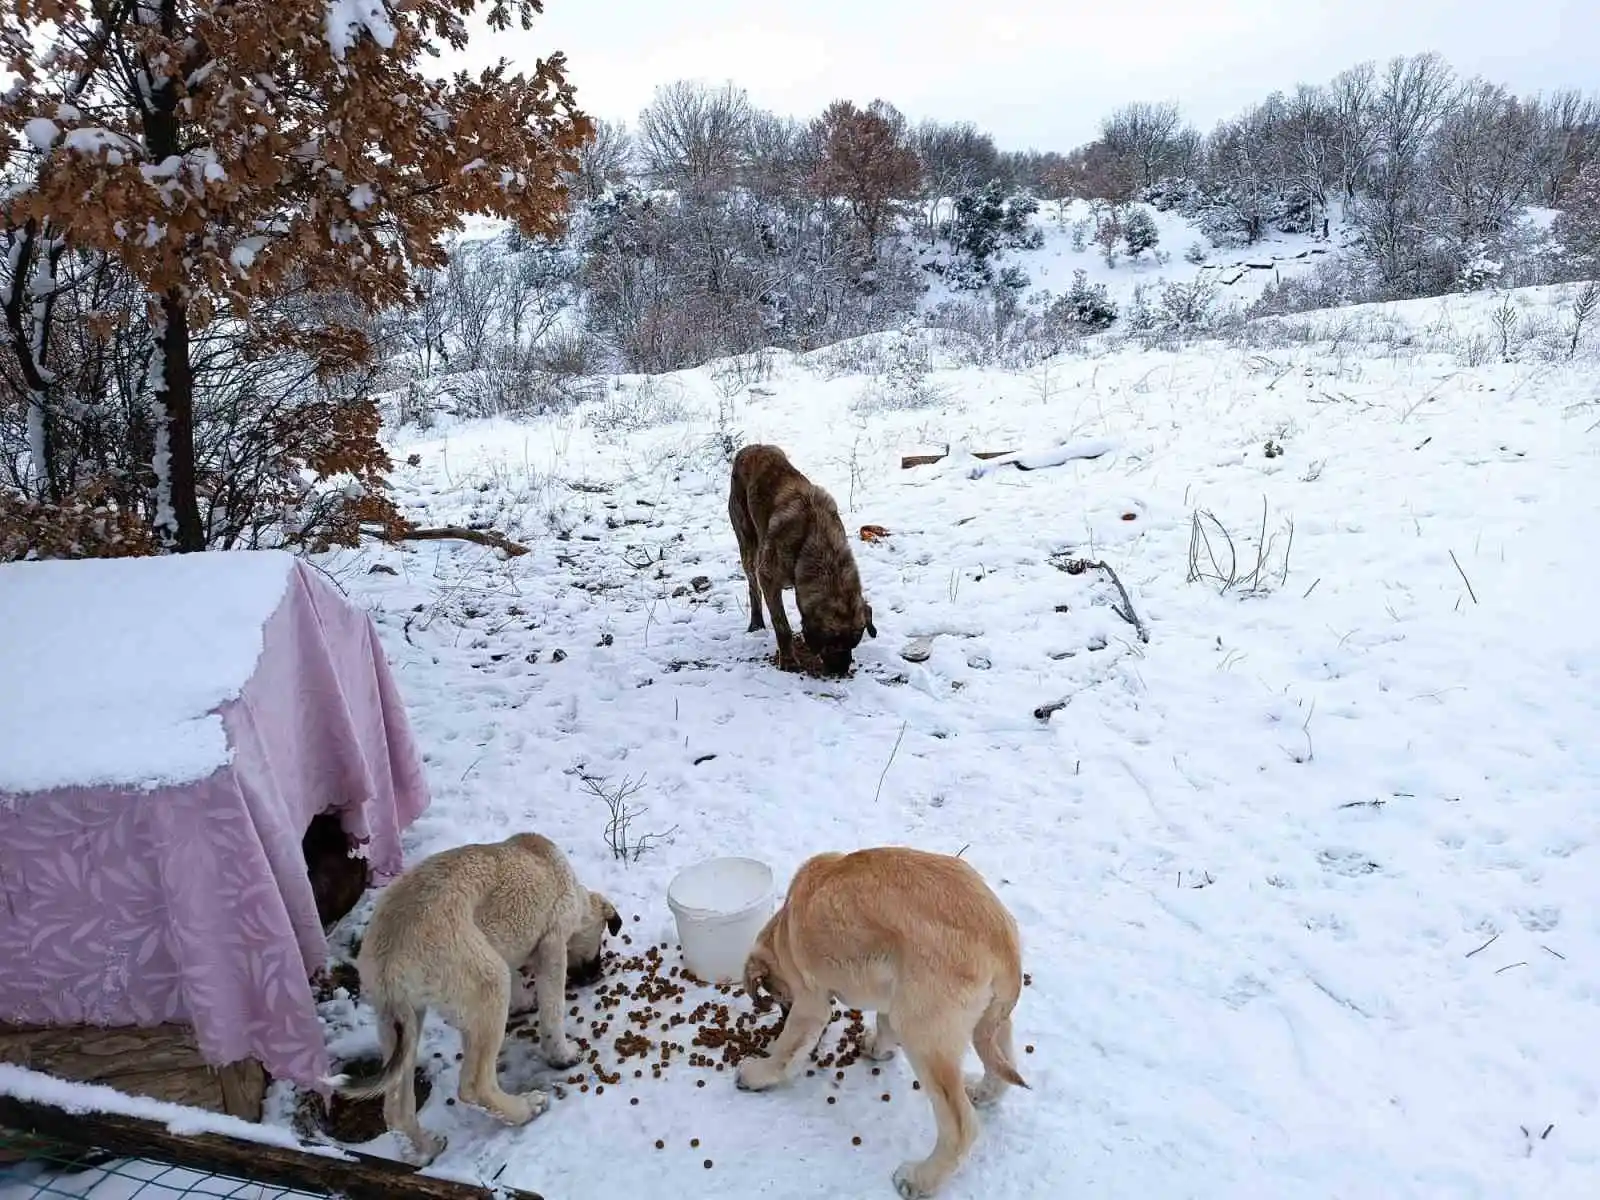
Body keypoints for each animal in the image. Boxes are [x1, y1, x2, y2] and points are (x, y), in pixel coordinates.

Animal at [323, 838, 617, 1164]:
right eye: (601, 939)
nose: (596, 975)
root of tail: (390, 957)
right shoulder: (552, 944)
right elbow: (552, 1012)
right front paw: (562, 1055)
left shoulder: (506, 946)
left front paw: (523, 1002)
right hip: (488, 983)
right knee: (475, 1087)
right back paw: (525, 1109)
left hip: (399, 1021)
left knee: (396, 1108)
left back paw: (424, 1151)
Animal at [729, 444, 876, 678]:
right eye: (831, 644)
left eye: (854, 643)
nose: (841, 671)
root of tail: (751, 448)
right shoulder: (768, 577)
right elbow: (782, 626)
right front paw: (789, 661)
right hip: (747, 543)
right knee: (753, 587)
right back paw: (756, 622)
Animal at [736, 851, 1024, 1196]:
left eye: (778, 994)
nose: (780, 1010)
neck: (785, 928)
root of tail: (1004, 945)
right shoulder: (892, 990)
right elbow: (884, 1022)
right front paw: (877, 1047)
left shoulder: (810, 1002)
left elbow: (787, 1046)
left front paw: (758, 1073)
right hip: (987, 1020)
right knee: (1003, 1062)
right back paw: (982, 1091)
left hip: (923, 1033)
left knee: (960, 1126)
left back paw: (920, 1179)